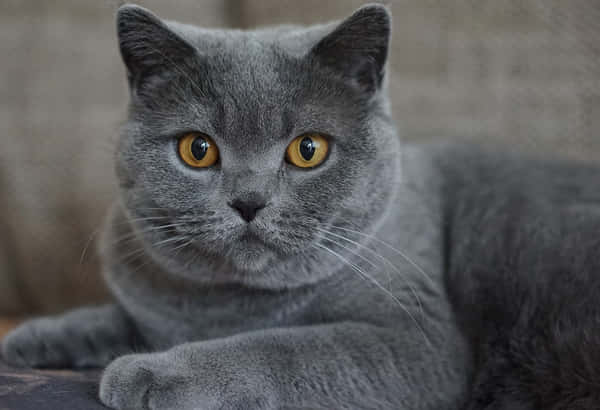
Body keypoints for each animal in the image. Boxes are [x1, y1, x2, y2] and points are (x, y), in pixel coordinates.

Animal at [1, 3, 600, 410]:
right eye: (198, 149)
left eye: (307, 150)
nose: (248, 200)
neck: (228, 307)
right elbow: (114, 315)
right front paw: (32, 338)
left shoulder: (415, 341)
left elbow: (278, 347)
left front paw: (153, 373)